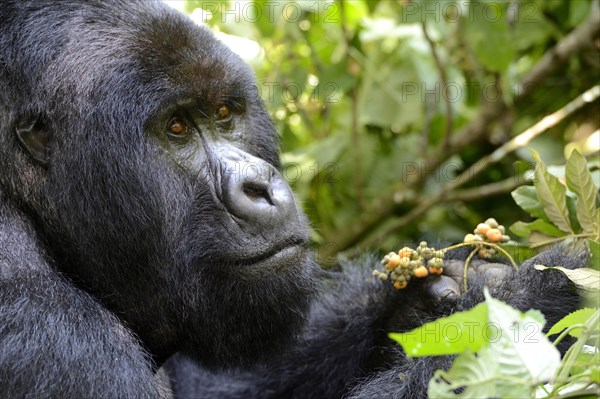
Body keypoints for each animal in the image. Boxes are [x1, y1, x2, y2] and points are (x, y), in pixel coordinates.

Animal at [0, 0, 584, 399]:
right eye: (176, 128)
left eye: (225, 112)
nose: (261, 187)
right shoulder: (37, 321)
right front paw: (535, 297)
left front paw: (427, 299)